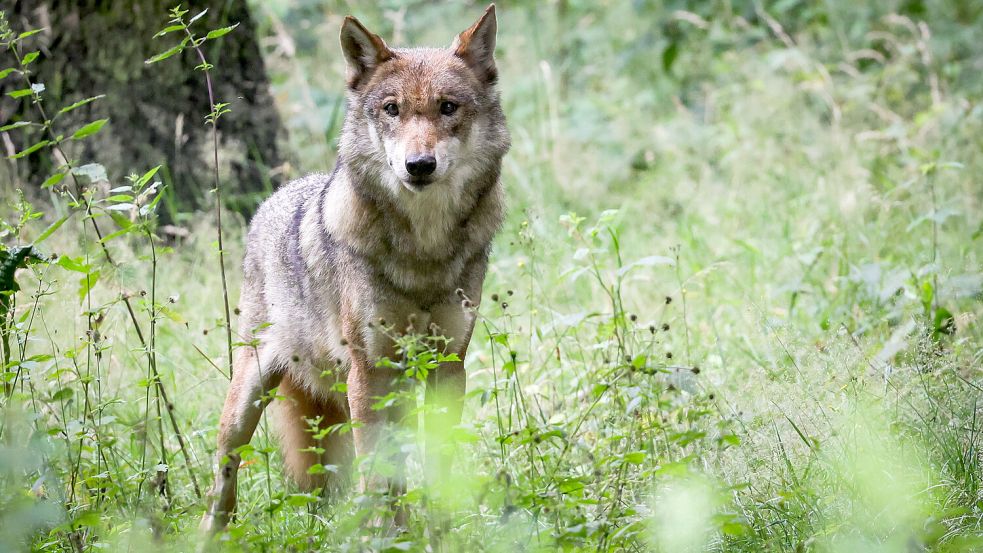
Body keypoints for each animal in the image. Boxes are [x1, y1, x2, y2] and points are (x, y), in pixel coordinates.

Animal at [199, 3, 508, 532]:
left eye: (448, 107)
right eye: (392, 109)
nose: (418, 165)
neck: (423, 251)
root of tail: (276, 197)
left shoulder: (449, 365)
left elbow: (438, 463)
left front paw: (440, 529)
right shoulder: (368, 370)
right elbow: (375, 471)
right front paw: (383, 534)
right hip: (249, 397)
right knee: (224, 473)